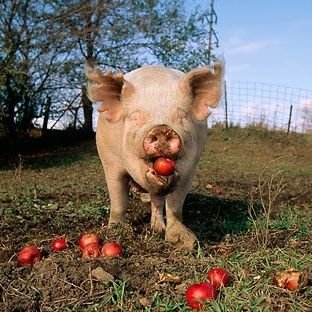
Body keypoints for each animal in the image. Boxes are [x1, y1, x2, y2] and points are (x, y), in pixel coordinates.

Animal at [84, 61, 224, 249]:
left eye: (182, 116)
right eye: (135, 117)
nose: (162, 129)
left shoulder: (190, 169)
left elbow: (175, 205)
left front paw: (185, 242)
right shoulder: (110, 161)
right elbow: (118, 201)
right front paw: (113, 231)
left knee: (156, 199)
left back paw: (157, 229)